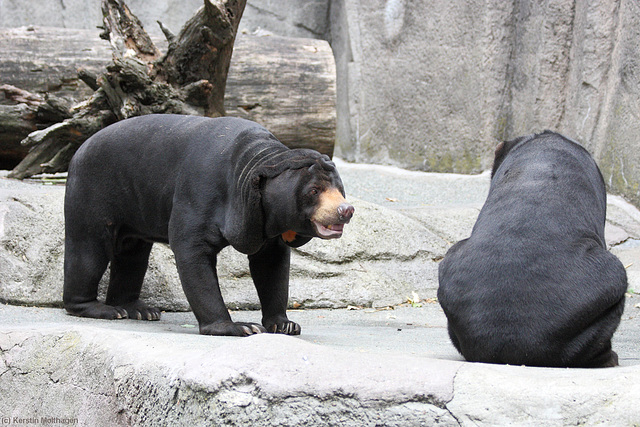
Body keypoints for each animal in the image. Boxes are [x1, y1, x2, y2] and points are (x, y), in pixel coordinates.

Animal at [63, 113, 356, 338]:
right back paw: (102, 309)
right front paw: (238, 327)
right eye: (314, 191)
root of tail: (79, 150)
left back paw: (137, 309)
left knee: (132, 256)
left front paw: (284, 324)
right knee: (88, 251)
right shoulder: (200, 191)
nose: (346, 210)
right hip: (93, 191)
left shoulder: (266, 222)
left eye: (339, 189)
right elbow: (192, 251)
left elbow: (271, 265)